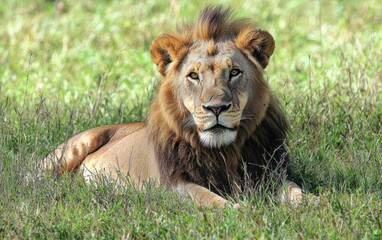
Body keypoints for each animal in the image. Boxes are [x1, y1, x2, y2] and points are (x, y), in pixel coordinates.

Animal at [43, 6, 308, 208]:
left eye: (234, 72)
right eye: (194, 76)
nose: (217, 108)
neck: (223, 151)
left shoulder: (270, 173)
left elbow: (295, 189)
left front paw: (313, 203)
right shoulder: (174, 184)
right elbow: (210, 199)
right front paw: (240, 210)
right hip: (70, 150)